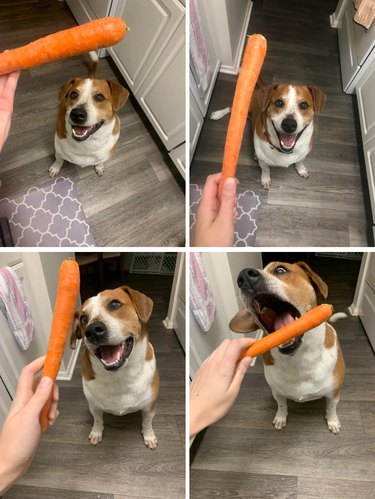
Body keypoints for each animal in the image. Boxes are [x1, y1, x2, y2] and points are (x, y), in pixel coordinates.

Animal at [71, 286, 160, 450]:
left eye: (114, 304)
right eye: (83, 318)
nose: (93, 330)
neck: (119, 376)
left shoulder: (149, 406)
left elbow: (147, 422)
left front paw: (149, 436)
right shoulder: (94, 406)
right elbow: (98, 420)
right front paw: (96, 432)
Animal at [231, 262, 348, 434]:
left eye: (280, 269)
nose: (244, 276)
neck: (298, 360)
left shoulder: (334, 393)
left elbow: (331, 408)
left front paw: (333, 421)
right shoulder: (277, 392)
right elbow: (281, 405)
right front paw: (281, 417)